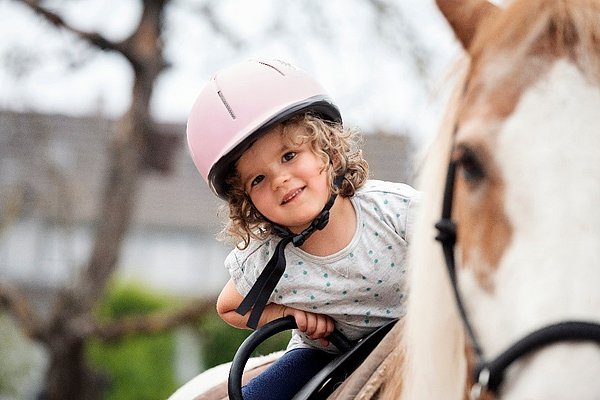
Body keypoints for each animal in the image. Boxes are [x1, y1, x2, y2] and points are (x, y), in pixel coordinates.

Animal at [170, 0, 600, 398]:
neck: (326, 233)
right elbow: (229, 304)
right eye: (468, 162)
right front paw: (312, 322)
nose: (283, 185)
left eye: (289, 156)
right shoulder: (254, 261)